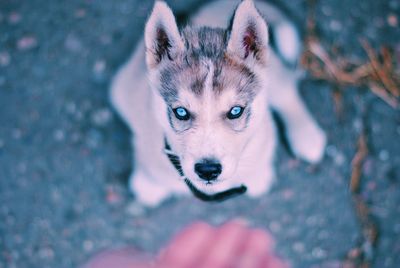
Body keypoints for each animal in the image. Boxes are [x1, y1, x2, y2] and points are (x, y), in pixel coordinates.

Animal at [111, 0, 326, 205]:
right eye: (181, 112)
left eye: (236, 111)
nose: (208, 170)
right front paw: (148, 184)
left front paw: (258, 176)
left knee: (286, 91)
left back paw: (307, 136)